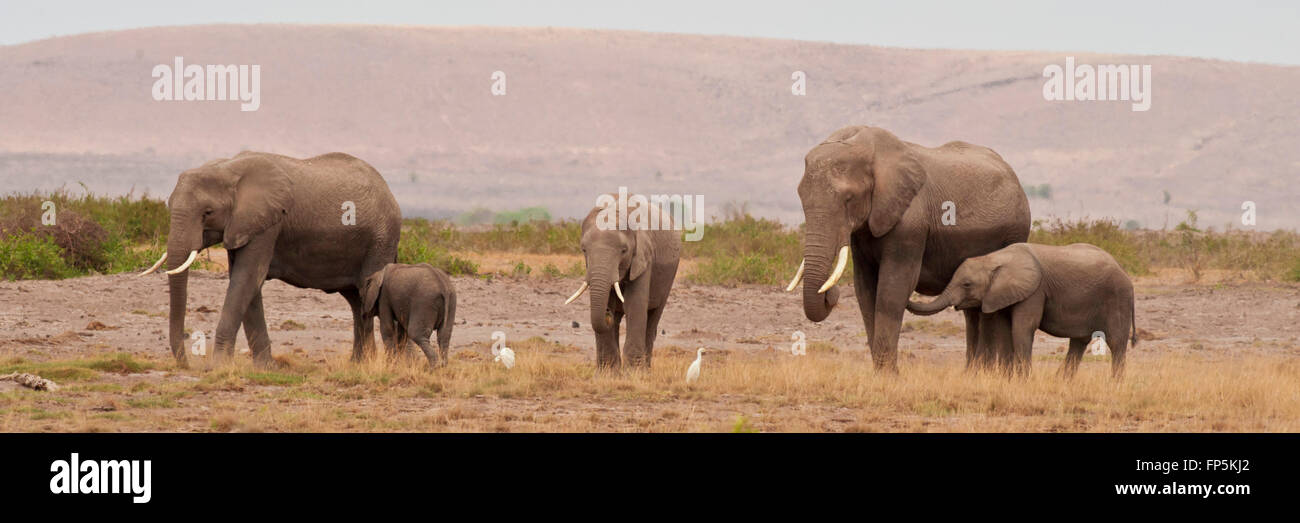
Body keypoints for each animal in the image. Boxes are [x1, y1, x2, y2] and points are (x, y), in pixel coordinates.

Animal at [139, 151, 401, 367]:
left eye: (208, 213)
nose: (186, 364)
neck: (226, 168)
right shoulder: (244, 226)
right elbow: (247, 285)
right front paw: (265, 368)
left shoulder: (266, 223)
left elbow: (246, 279)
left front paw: (219, 367)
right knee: (357, 301)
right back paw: (359, 364)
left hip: (380, 239)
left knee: (367, 295)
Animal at [563, 195, 682, 369]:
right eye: (584, 250)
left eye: (624, 251)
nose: (607, 313)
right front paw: (607, 372)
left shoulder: (643, 259)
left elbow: (635, 305)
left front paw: (633, 372)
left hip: (669, 277)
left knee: (653, 318)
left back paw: (645, 370)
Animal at [789, 126, 1030, 373]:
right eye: (800, 197)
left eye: (849, 198)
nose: (831, 294)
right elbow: (865, 291)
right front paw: (880, 373)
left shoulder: (910, 224)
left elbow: (892, 290)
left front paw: (888, 375)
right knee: (972, 310)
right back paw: (972, 373)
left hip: (1015, 231)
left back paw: (987, 373)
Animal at [906, 242, 1137, 378]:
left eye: (967, 284)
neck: (994, 259)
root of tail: (1124, 272)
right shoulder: (999, 294)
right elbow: (1003, 329)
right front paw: (1008, 379)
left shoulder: (1034, 291)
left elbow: (1022, 327)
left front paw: (1024, 379)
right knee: (1078, 341)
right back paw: (1061, 381)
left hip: (1118, 298)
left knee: (1116, 342)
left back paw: (1115, 383)